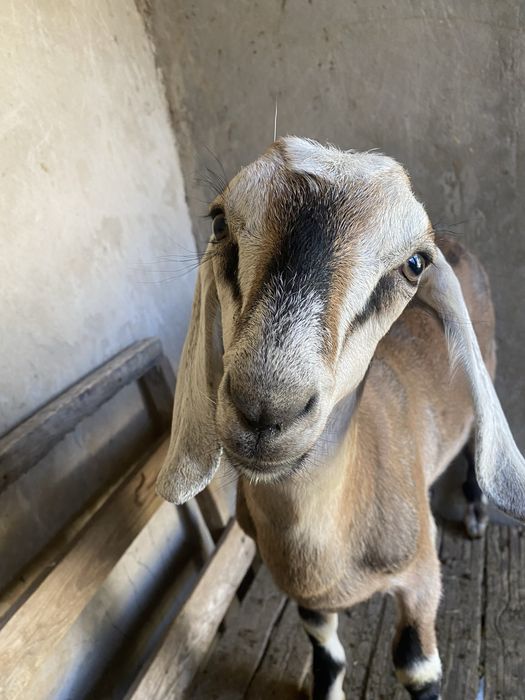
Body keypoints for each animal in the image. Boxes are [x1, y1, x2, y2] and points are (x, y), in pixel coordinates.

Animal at [156, 137, 525, 700]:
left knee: (470, 447)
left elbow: (416, 665)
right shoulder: (307, 596)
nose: (267, 406)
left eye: (414, 263)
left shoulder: (421, 577)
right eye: (219, 223)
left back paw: (478, 514)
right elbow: (327, 655)